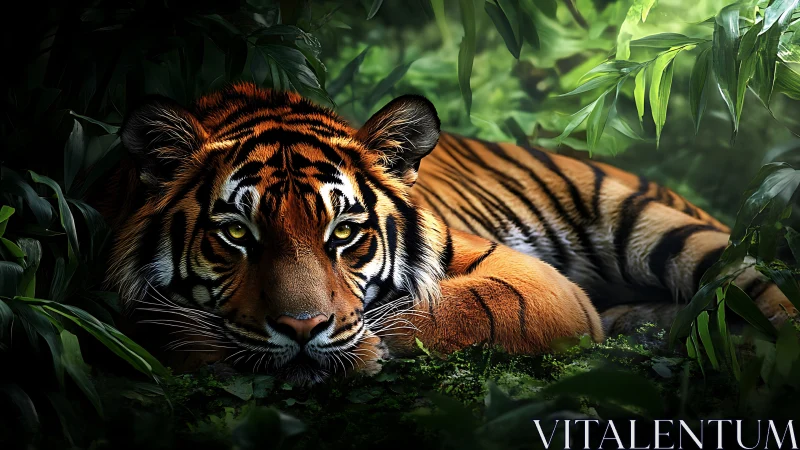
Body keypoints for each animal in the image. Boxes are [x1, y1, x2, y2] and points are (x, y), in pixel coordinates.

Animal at [100, 82, 795, 384]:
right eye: (237, 234)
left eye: (344, 233)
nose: (301, 329)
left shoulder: (530, 279)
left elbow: (446, 309)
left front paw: (365, 346)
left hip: (676, 234)